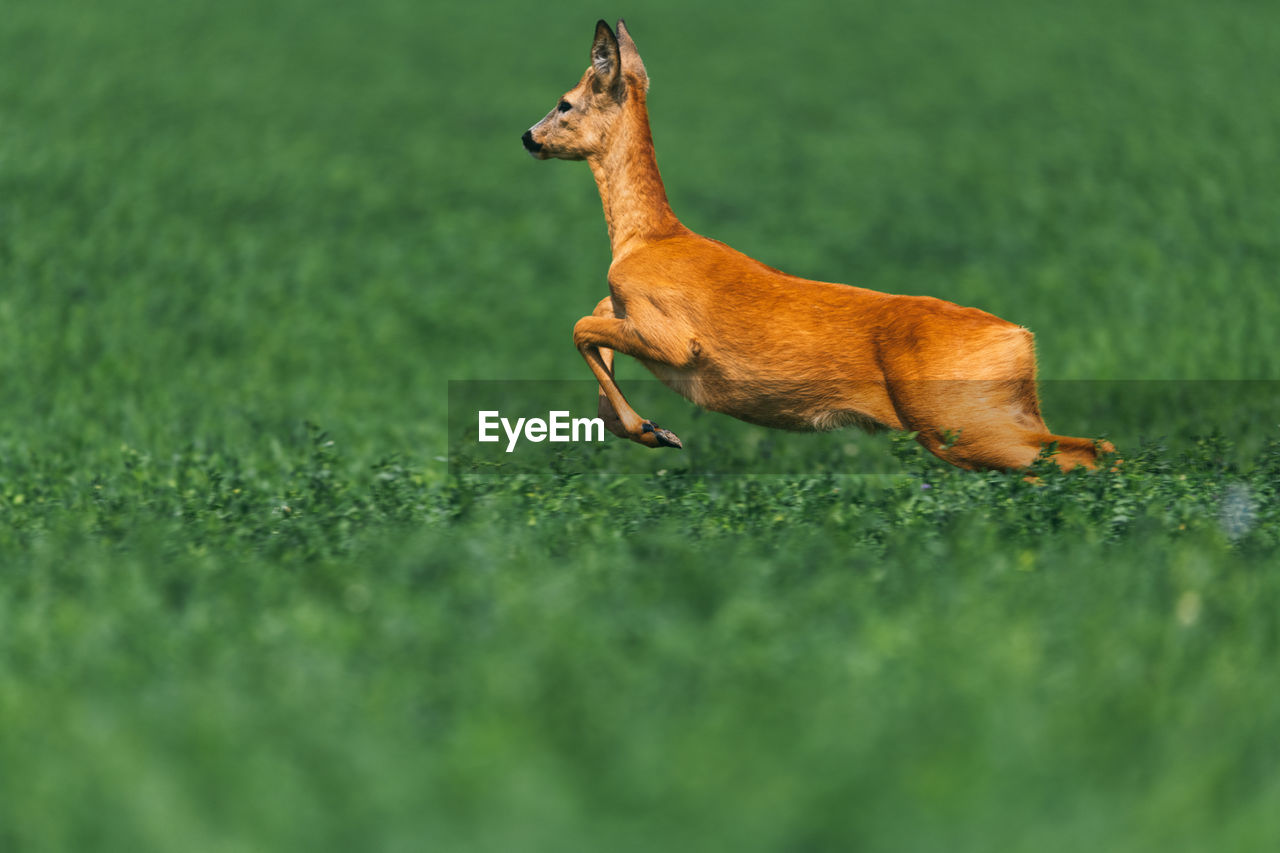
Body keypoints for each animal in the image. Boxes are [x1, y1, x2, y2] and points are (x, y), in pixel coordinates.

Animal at [519, 18, 1111, 471]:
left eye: (565, 103)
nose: (528, 136)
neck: (644, 239)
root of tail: (1020, 338)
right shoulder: (627, 311)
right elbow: (595, 334)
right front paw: (651, 429)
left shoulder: (675, 340)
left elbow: (580, 327)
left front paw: (655, 431)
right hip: (1001, 414)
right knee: (1090, 448)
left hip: (956, 422)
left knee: (1084, 454)